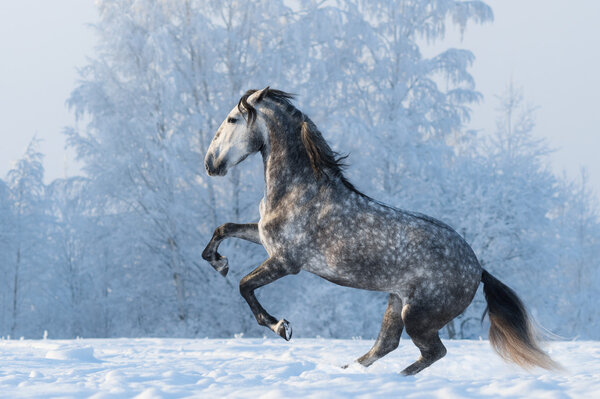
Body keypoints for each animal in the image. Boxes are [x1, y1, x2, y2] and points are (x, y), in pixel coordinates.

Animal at [200, 86, 556, 376]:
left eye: (232, 119)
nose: (210, 164)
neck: (299, 190)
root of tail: (478, 269)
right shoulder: (265, 240)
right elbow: (223, 229)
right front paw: (219, 263)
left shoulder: (286, 261)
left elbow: (245, 286)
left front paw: (281, 327)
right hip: (396, 302)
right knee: (386, 345)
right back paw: (348, 371)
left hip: (418, 315)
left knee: (432, 352)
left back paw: (390, 379)